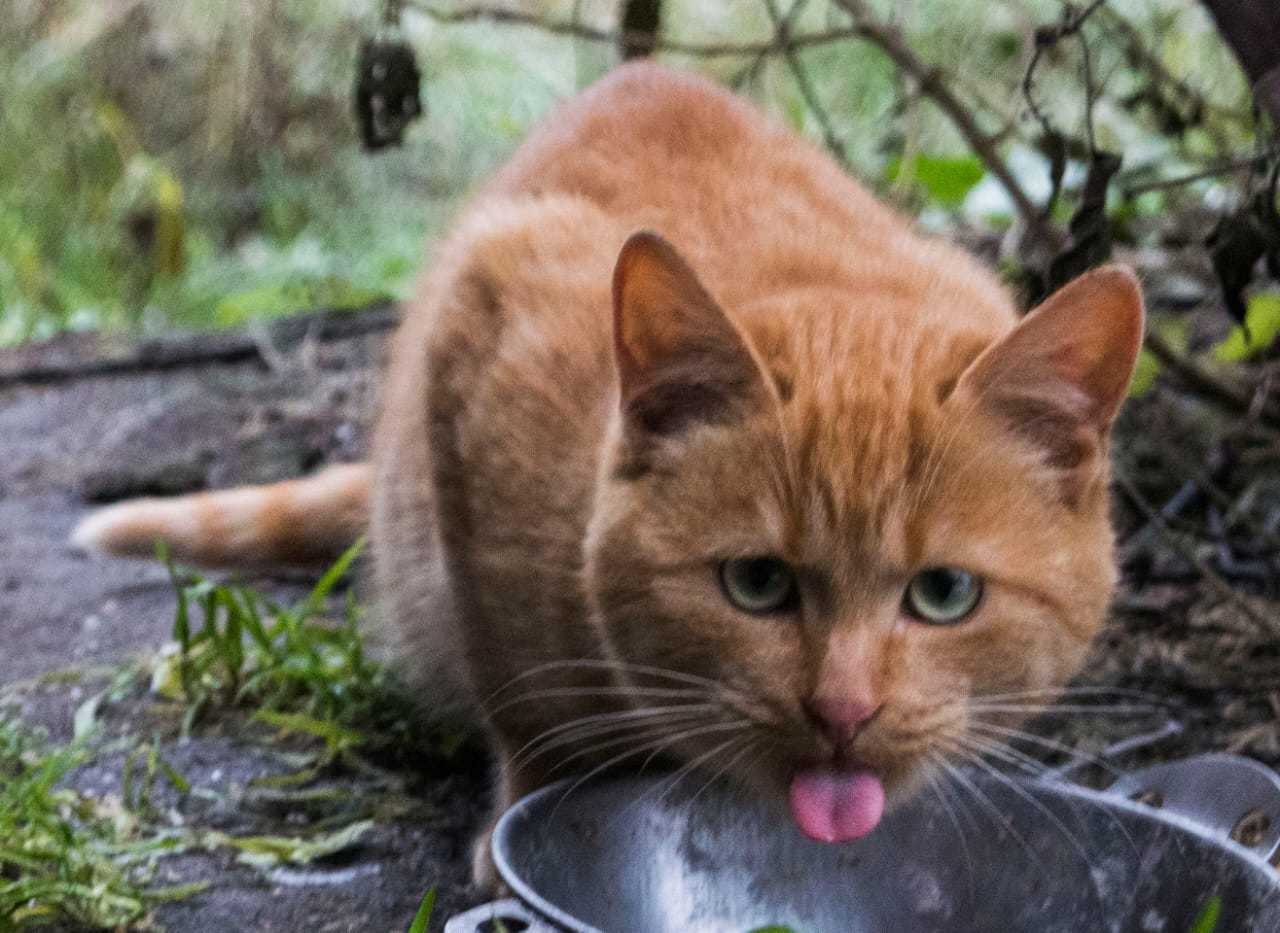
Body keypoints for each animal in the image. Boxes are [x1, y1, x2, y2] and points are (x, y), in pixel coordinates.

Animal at [74, 63, 1146, 880]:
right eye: (756, 582)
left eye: (945, 593)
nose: (842, 712)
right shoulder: (476, 340)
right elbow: (520, 703)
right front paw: (527, 813)